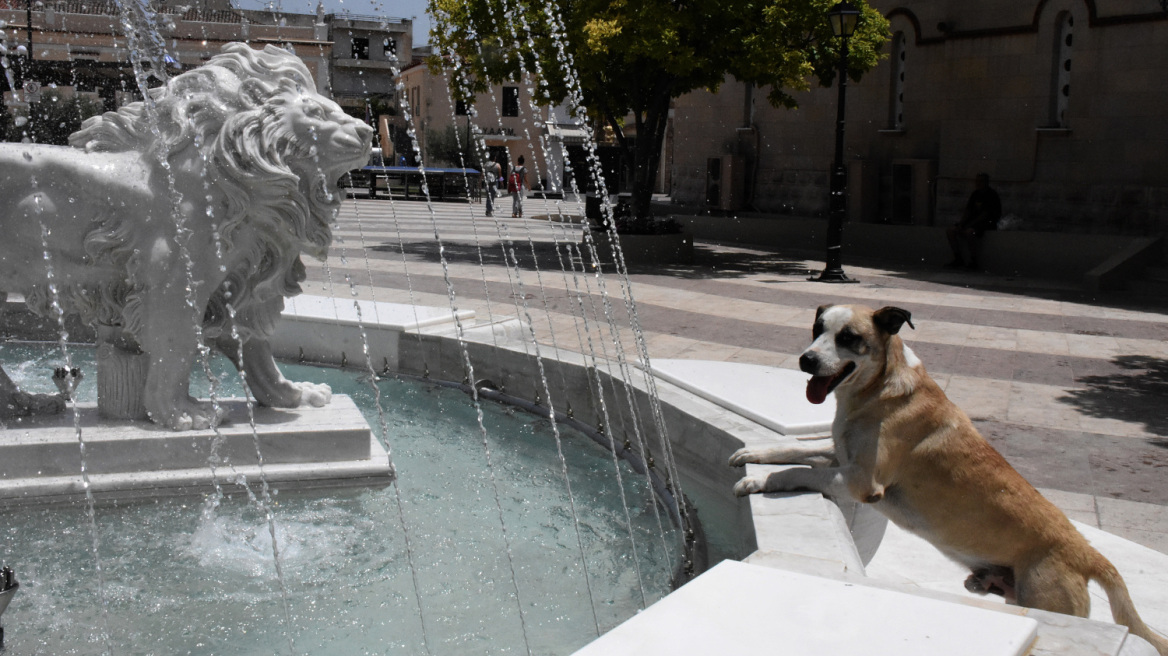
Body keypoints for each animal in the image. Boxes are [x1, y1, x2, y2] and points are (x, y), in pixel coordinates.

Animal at [728, 303, 1168, 648]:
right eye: (816, 329)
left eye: (848, 337)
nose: (806, 360)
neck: (877, 389)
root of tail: (1088, 553)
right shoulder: (840, 453)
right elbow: (795, 449)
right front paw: (755, 453)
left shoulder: (861, 482)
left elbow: (796, 471)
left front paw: (759, 481)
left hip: (1047, 598)